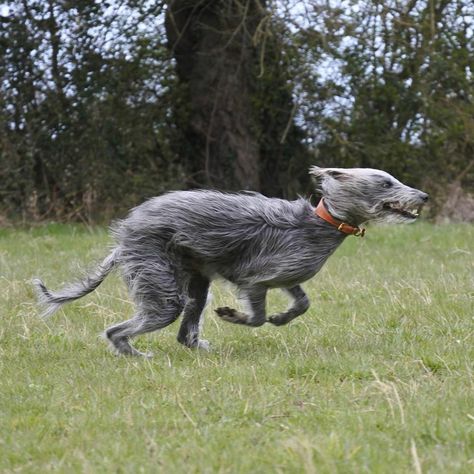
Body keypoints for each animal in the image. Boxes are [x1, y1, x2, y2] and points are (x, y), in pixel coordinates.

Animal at [34, 167, 430, 356]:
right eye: (385, 182)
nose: (424, 195)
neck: (325, 220)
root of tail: (125, 237)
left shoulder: (286, 277)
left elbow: (302, 302)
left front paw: (282, 317)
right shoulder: (255, 281)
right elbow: (255, 318)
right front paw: (234, 316)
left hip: (197, 282)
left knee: (186, 332)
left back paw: (197, 348)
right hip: (162, 284)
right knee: (118, 330)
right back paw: (136, 355)